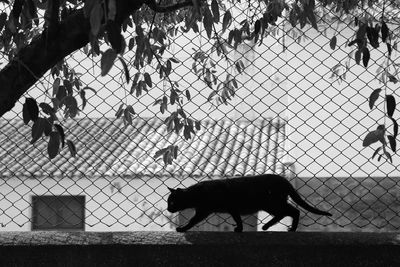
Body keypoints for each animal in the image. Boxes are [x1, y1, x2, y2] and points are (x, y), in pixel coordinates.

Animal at [166, 175, 332, 233]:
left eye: (172, 201)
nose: (168, 209)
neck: (196, 193)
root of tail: (283, 179)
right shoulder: (231, 208)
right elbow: (238, 218)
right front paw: (239, 229)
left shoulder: (204, 210)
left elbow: (192, 221)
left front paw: (182, 228)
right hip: (271, 205)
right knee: (287, 212)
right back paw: (269, 226)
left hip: (272, 203)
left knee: (294, 211)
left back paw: (289, 228)